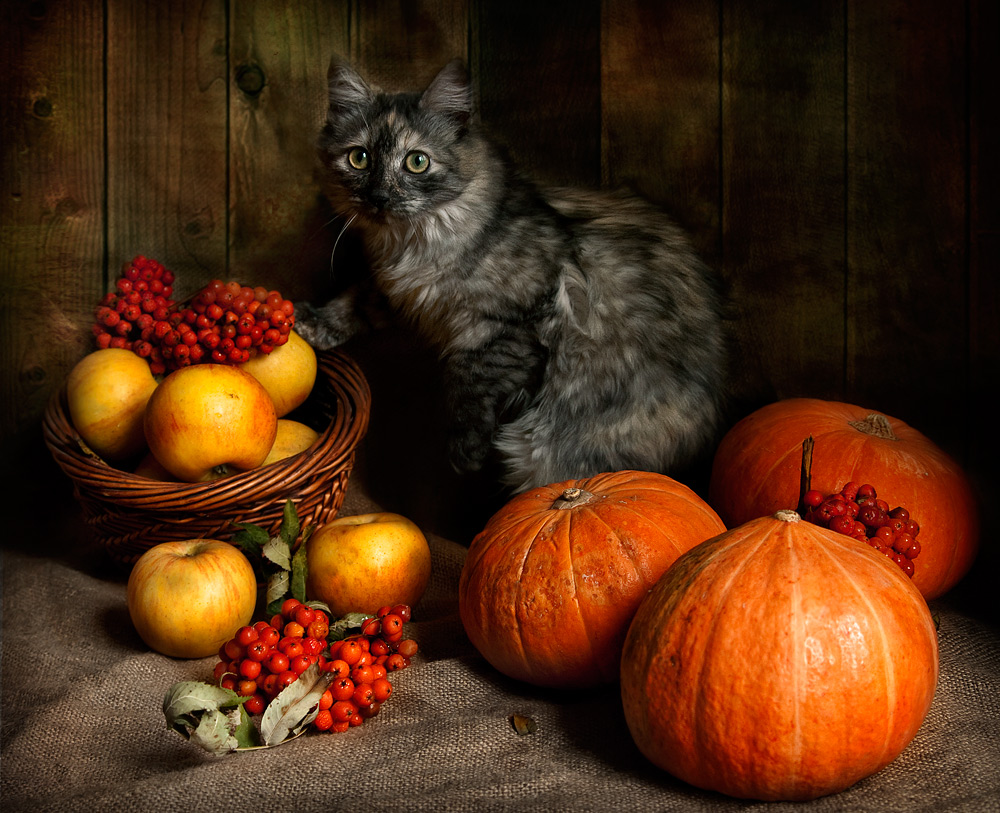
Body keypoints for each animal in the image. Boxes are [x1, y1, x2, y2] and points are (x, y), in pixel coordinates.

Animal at [292, 57, 732, 492]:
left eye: (417, 162)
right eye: (359, 158)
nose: (379, 197)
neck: (414, 243)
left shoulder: (514, 324)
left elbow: (470, 381)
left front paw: (465, 454)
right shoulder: (401, 292)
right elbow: (356, 298)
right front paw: (312, 323)